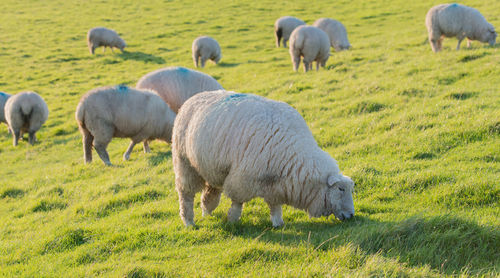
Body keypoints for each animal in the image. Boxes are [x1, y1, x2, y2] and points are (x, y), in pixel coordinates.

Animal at [173, 90, 356, 227]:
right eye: (340, 189)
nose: (351, 215)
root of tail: (193, 98)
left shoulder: (275, 184)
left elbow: (275, 205)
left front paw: (278, 223)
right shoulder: (242, 179)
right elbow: (238, 202)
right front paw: (232, 220)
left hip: (212, 167)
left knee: (209, 193)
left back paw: (206, 213)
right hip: (184, 163)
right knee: (186, 194)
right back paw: (189, 221)